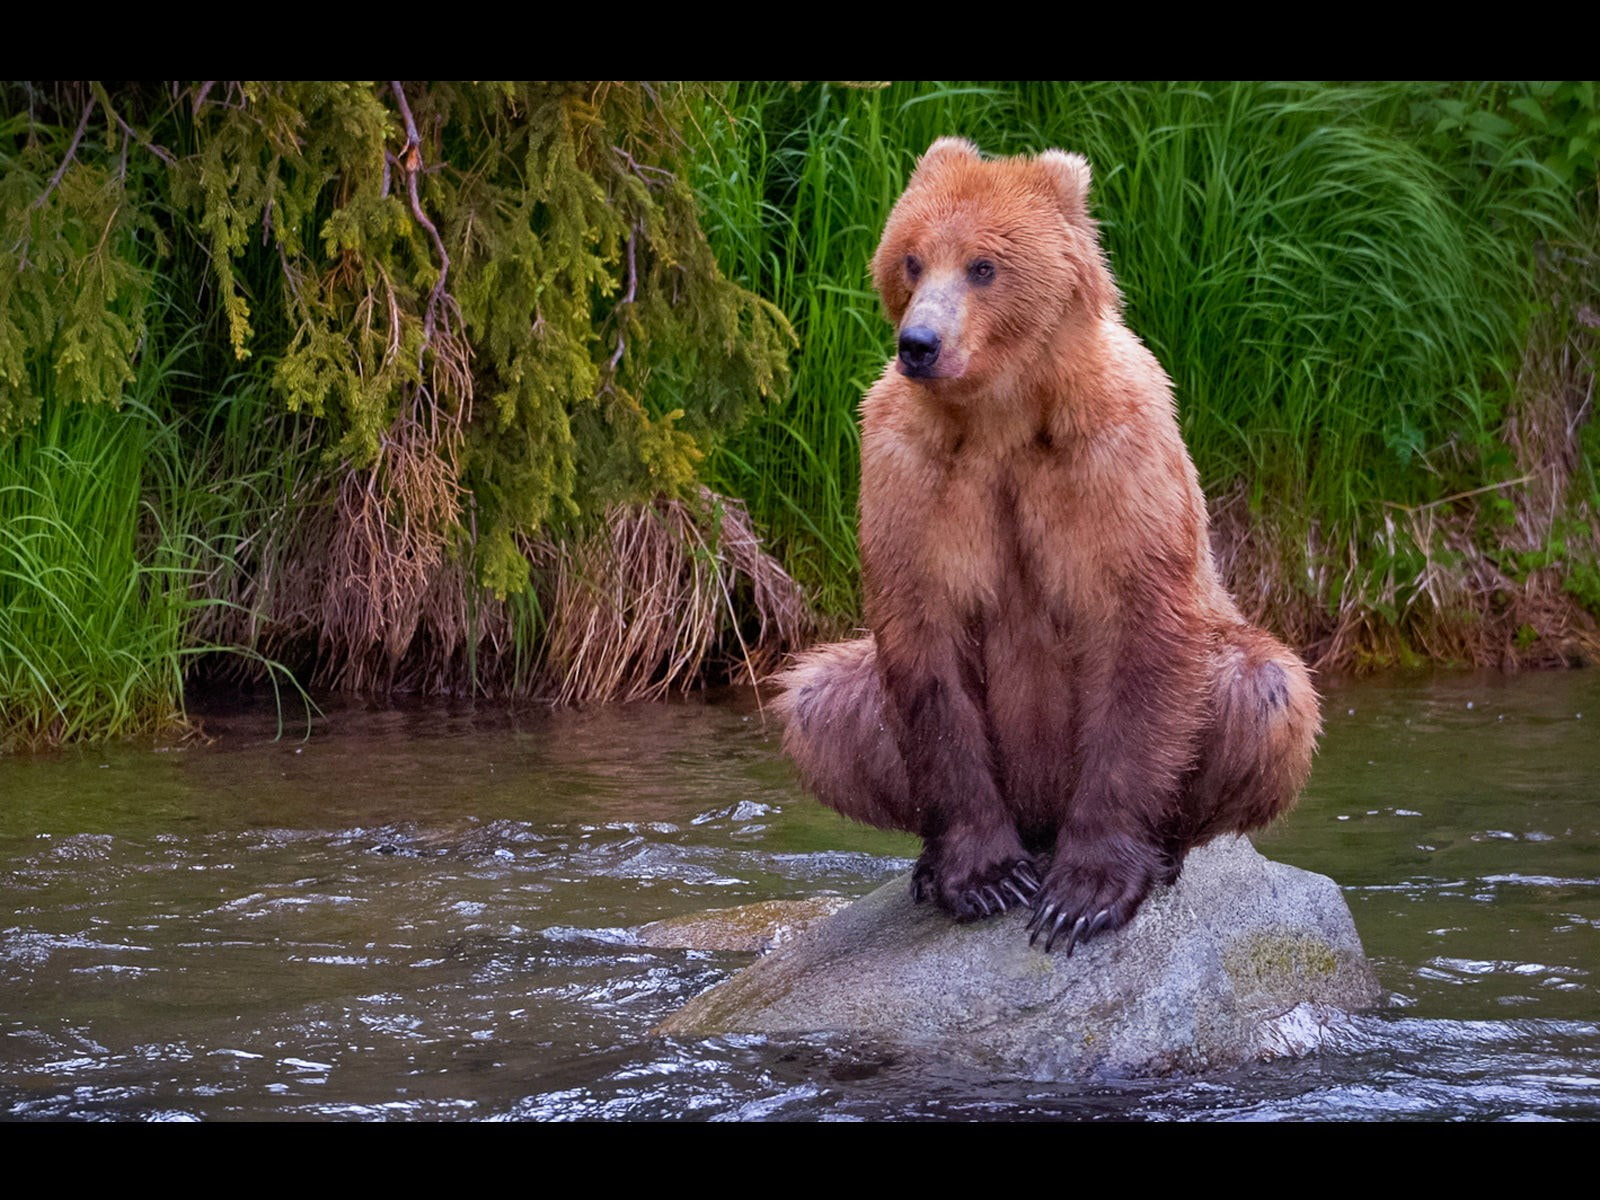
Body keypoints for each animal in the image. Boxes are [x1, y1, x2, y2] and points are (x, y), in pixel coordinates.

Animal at [772, 137, 1322, 955]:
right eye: (911, 259)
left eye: (983, 265)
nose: (919, 344)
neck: (1001, 414)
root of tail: (1041, 820)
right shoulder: (910, 468)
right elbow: (925, 640)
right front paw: (983, 876)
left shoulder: (1113, 456)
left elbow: (1140, 629)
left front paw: (1083, 895)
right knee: (819, 700)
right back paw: (931, 864)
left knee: (1266, 687)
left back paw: (1164, 852)